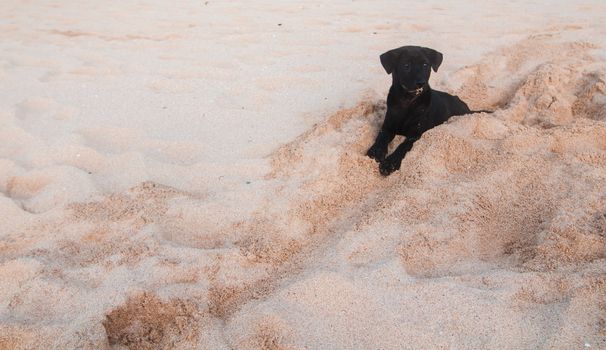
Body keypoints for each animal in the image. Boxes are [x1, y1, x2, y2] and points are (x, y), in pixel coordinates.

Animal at [370, 46, 476, 176]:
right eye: (406, 65)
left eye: (425, 64)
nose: (421, 82)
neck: (407, 101)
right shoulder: (388, 125)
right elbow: (382, 136)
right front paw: (376, 151)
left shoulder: (416, 133)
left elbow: (403, 146)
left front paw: (390, 163)